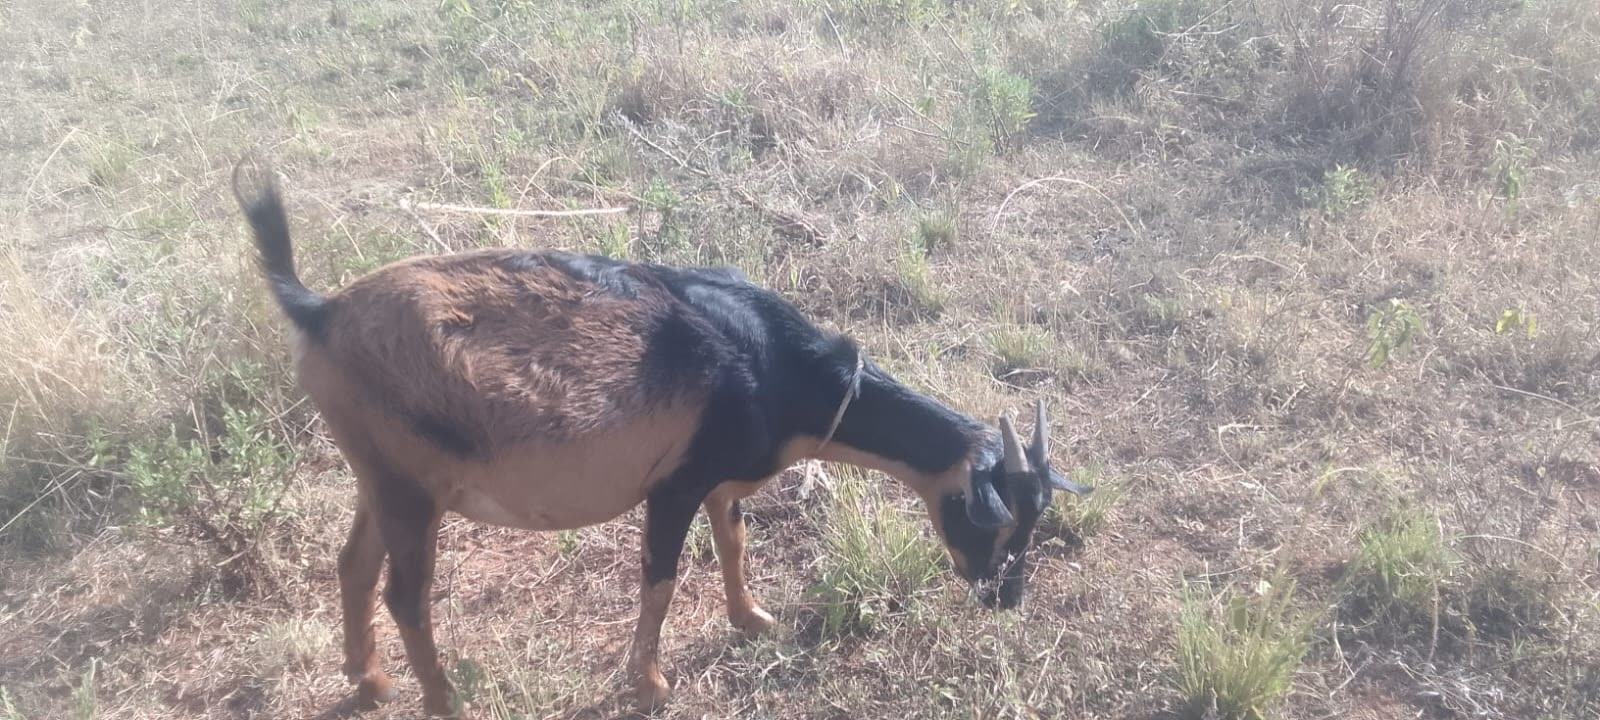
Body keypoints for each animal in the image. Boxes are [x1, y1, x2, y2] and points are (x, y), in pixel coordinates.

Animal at [231, 162, 1092, 716]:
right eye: (995, 522)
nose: (1005, 598)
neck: (782, 367)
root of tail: (318, 311)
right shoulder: (673, 484)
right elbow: (662, 578)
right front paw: (650, 686)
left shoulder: (721, 480)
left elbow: (734, 542)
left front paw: (754, 621)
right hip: (411, 487)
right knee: (404, 595)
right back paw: (445, 704)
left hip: (379, 472)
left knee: (352, 563)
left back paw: (370, 684)